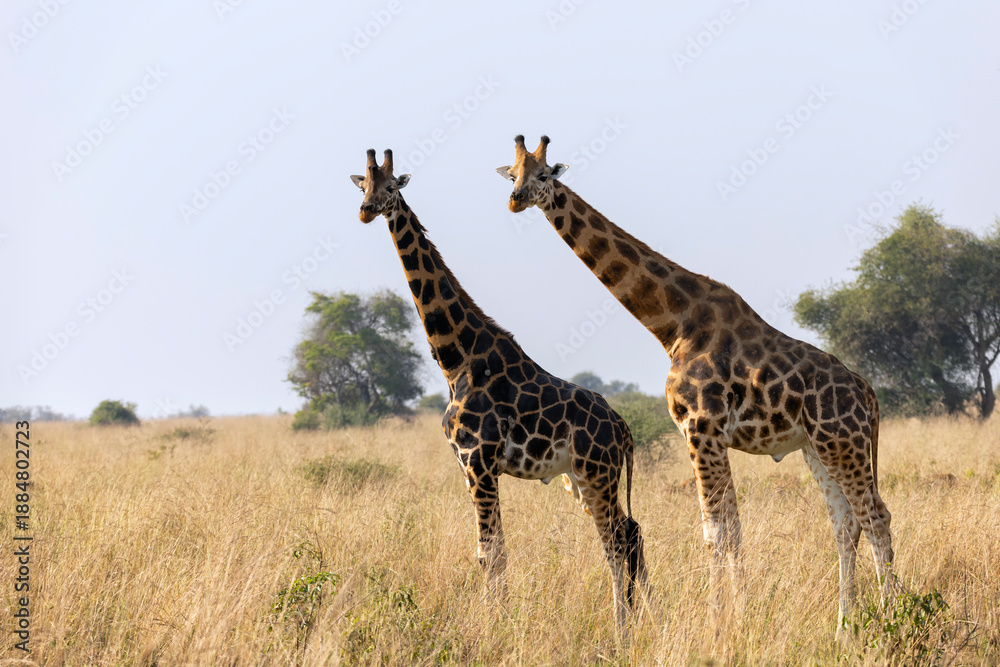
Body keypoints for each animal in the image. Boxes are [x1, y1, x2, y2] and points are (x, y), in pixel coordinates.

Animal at [351, 148, 649, 630]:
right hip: (580, 478)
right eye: (363, 186)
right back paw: (644, 616)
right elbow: (490, 552)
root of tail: (624, 429)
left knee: (616, 541)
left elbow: (490, 553)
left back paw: (621, 625)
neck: (455, 360)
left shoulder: (479, 461)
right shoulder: (466, 465)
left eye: (392, 187)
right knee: (631, 531)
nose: (365, 211)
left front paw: (494, 625)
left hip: (596, 473)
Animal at [497, 135, 896, 637]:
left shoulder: (700, 429)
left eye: (544, 175)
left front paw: (718, 621)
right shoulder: (711, 436)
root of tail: (868, 395)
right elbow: (731, 529)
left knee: (876, 516)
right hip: (817, 447)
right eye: (512, 174)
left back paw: (893, 616)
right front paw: (736, 615)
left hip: (844, 442)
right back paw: (844, 627)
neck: (672, 324)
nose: (514, 201)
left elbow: (714, 532)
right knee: (846, 524)